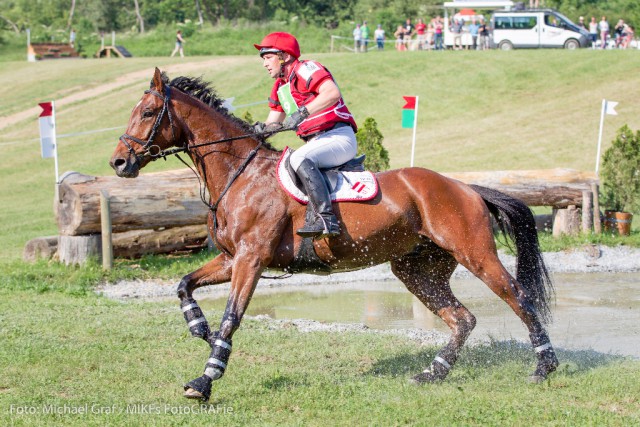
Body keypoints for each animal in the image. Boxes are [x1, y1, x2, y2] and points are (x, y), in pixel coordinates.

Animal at [109, 67, 556, 402]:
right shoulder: (232, 258)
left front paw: (205, 379)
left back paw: (543, 366)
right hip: (416, 269)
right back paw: (433, 373)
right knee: (462, 318)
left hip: (474, 254)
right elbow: (184, 284)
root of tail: (465, 187)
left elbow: (231, 317)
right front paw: (199, 328)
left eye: (148, 112)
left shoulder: (252, 258)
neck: (240, 173)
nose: (118, 163)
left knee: (518, 298)